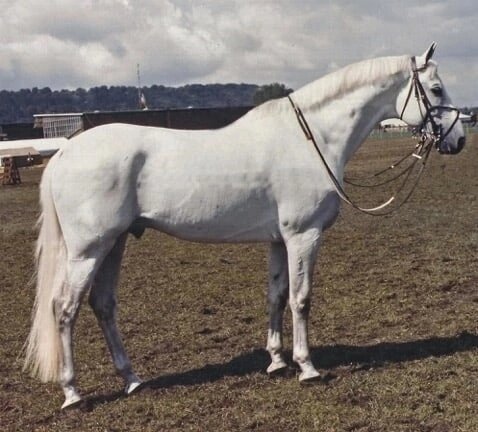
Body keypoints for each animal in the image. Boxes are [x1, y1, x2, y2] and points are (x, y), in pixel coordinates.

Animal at [25, 44, 464, 408]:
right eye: (436, 89)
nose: (457, 140)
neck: (312, 139)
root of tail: (64, 152)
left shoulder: (279, 240)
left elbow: (276, 296)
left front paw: (276, 362)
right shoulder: (303, 236)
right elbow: (301, 299)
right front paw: (307, 367)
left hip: (114, 244)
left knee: (103, 305)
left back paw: (133, 379)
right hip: (88, 251)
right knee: (63, 309)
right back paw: (73, 393)